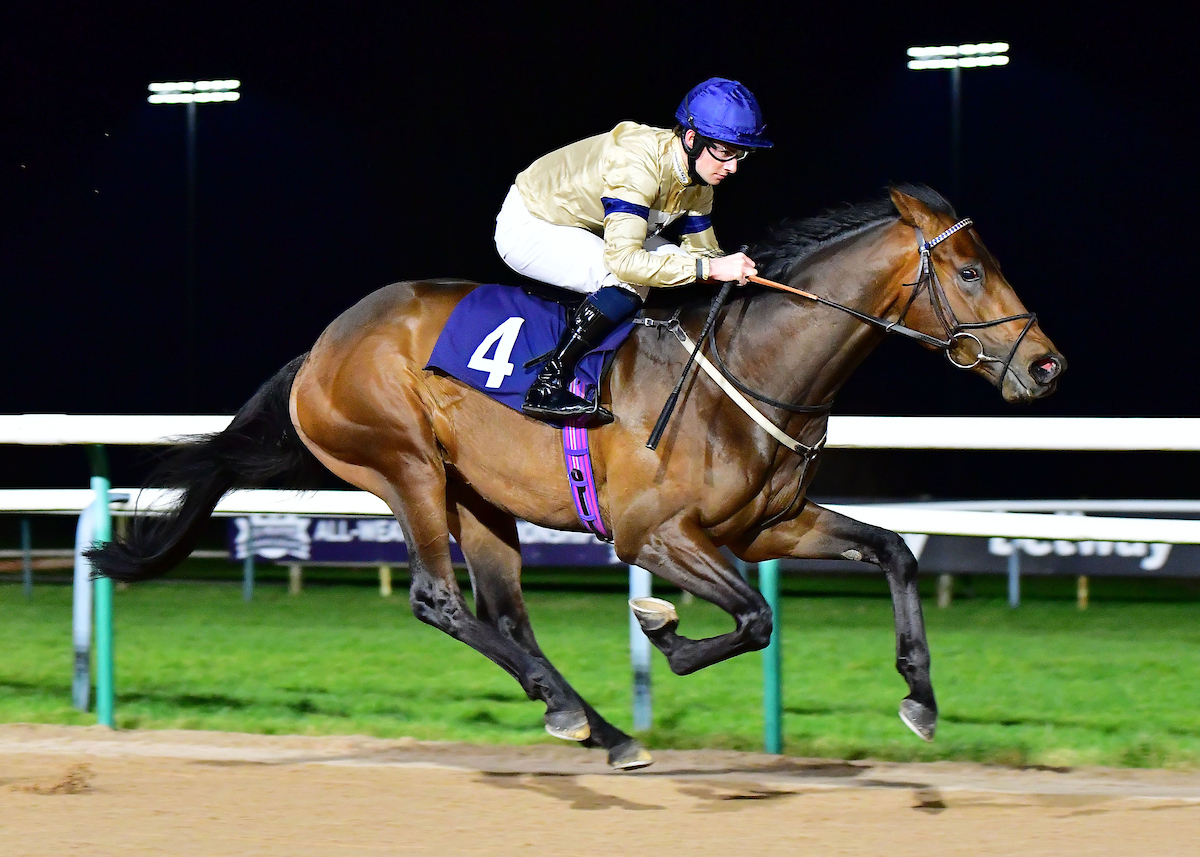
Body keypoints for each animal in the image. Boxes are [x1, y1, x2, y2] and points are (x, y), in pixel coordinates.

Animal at [88, 184, 1065, 768]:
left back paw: (591, 721)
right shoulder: (654, 534)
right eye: (969, 271)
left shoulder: (768, 525)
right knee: (439, 601)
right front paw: (663, 629)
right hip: (405, 464)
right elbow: (752, 616)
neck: (748, 366)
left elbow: (895, 550)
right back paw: (582, 715)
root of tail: (322, 347)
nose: (1047, 366)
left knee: (504, 613)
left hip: (479, 498)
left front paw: (921, 699)